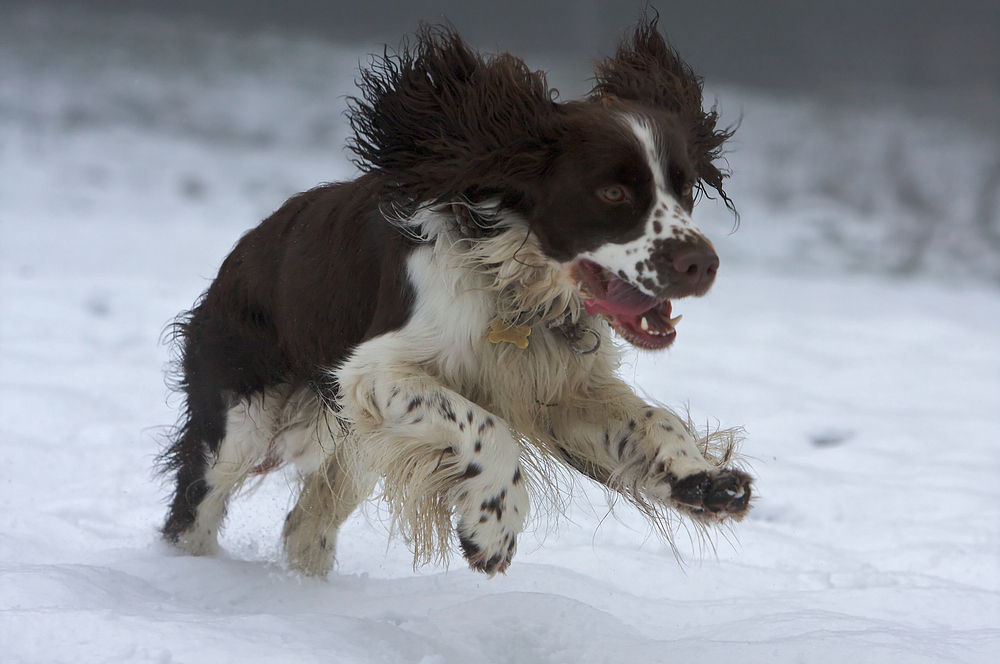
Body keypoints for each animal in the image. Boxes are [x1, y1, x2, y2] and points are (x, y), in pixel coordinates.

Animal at [160, 15, 752, 576]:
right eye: (612, 192)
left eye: (683, 185)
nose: (702, 264)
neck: (513, 290)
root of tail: (238, 256)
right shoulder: (372, 372)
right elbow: (484, 425)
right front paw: (493, 524)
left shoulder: (560, 390)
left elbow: (653, 419)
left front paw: (701, 478)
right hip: (242, 421)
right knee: (196, 508)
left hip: (353, 449)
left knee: (307, 525)